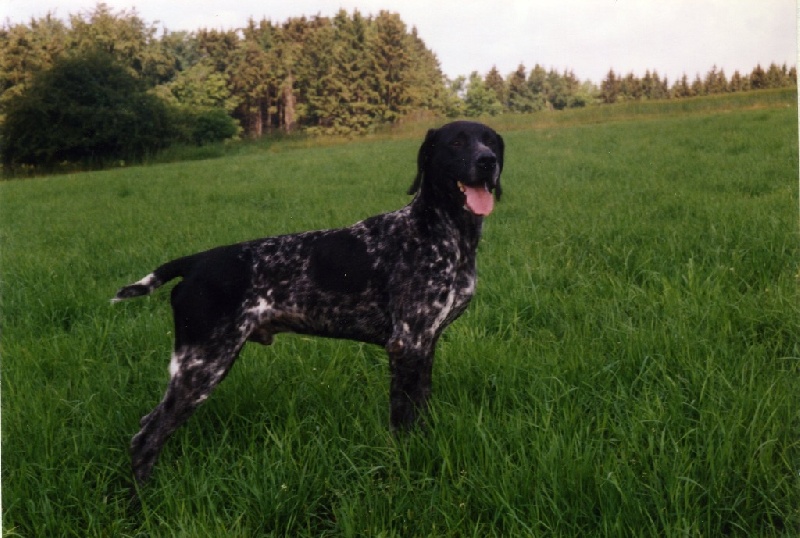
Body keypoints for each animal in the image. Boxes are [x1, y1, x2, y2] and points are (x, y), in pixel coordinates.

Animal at [113, 121, 504, 483]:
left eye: (490, 140)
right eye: (456, 142)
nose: (488, 161)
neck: (443, 232)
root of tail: (195, 262)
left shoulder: (425, 344)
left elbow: (422, 408)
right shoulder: (406, 344)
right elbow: (402, 419)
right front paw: (404, 462)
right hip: (203, 364)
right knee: (145, 438)